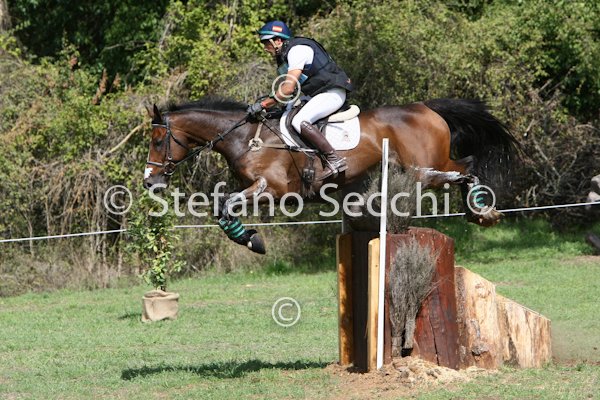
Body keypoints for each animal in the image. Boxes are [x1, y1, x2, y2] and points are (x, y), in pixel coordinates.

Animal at [144, 97, 518, 254]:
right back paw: (480, 211)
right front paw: (249, 238)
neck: (244, 137)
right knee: (463, 167)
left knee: (463, 167)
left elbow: (224, 206)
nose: (150, 181)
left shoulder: (273, 190)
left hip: (423, 165)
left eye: (158, 140)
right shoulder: (252, 189)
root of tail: (427, 108)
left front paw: (252, 241)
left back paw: (482, 210)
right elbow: (221, 209)